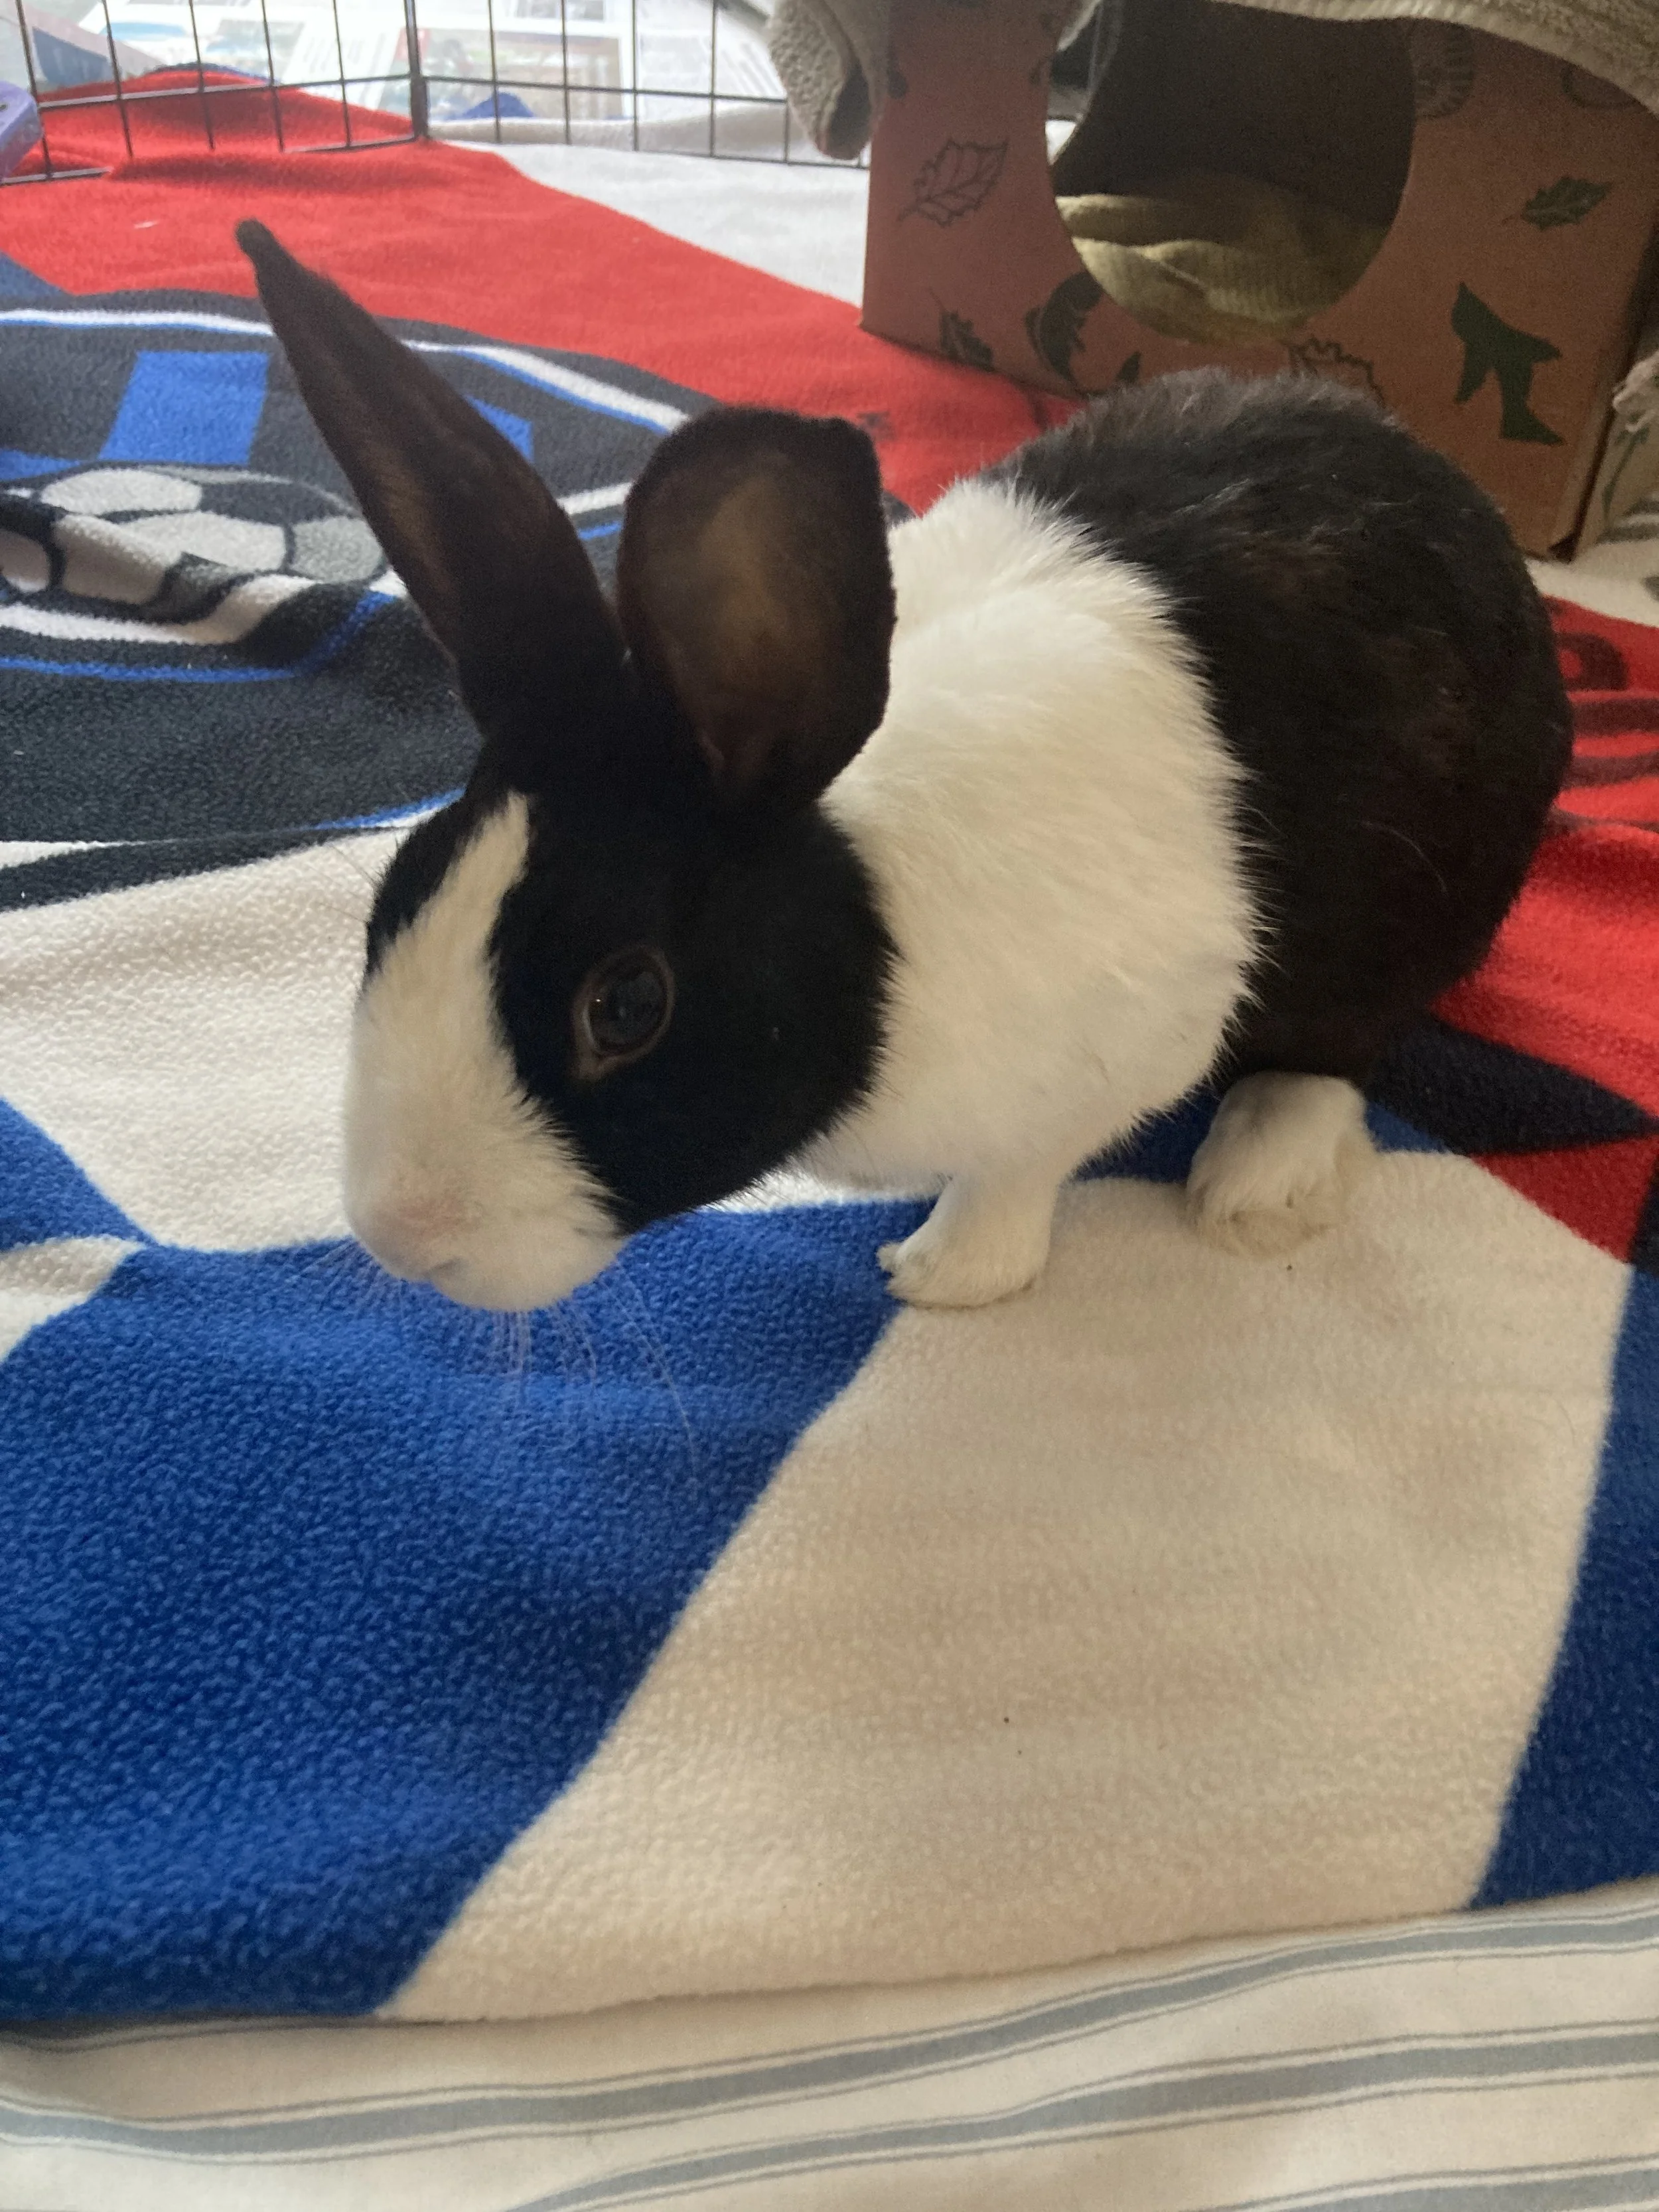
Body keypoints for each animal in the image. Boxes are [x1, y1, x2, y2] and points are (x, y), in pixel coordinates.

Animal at [239, 221, 1572, 1314]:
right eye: (397, 897)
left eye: (626, 1005)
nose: (404, 1236)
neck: (872, 918)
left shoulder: (1123, 1046)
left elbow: (1017, 1176)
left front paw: (941, 1277)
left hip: (1415, 898)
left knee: (1345, 1040)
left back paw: (1253, 1179)